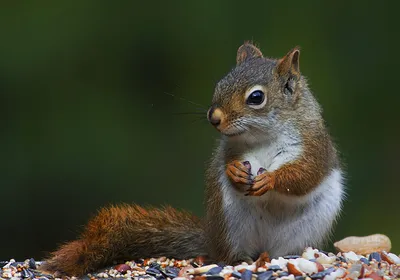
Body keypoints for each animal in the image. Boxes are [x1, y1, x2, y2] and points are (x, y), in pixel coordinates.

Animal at [42, 42, 346, 276]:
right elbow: (228, 165)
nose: (214, 117)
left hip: (307, 226)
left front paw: (270, 179)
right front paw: (234, 172)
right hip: (228, 219)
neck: (262, 136)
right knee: (230, 254)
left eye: (256, 97)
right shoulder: (230, 149)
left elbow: (304, 174)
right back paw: (242, 259)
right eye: (220, 84)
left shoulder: (314, 146)